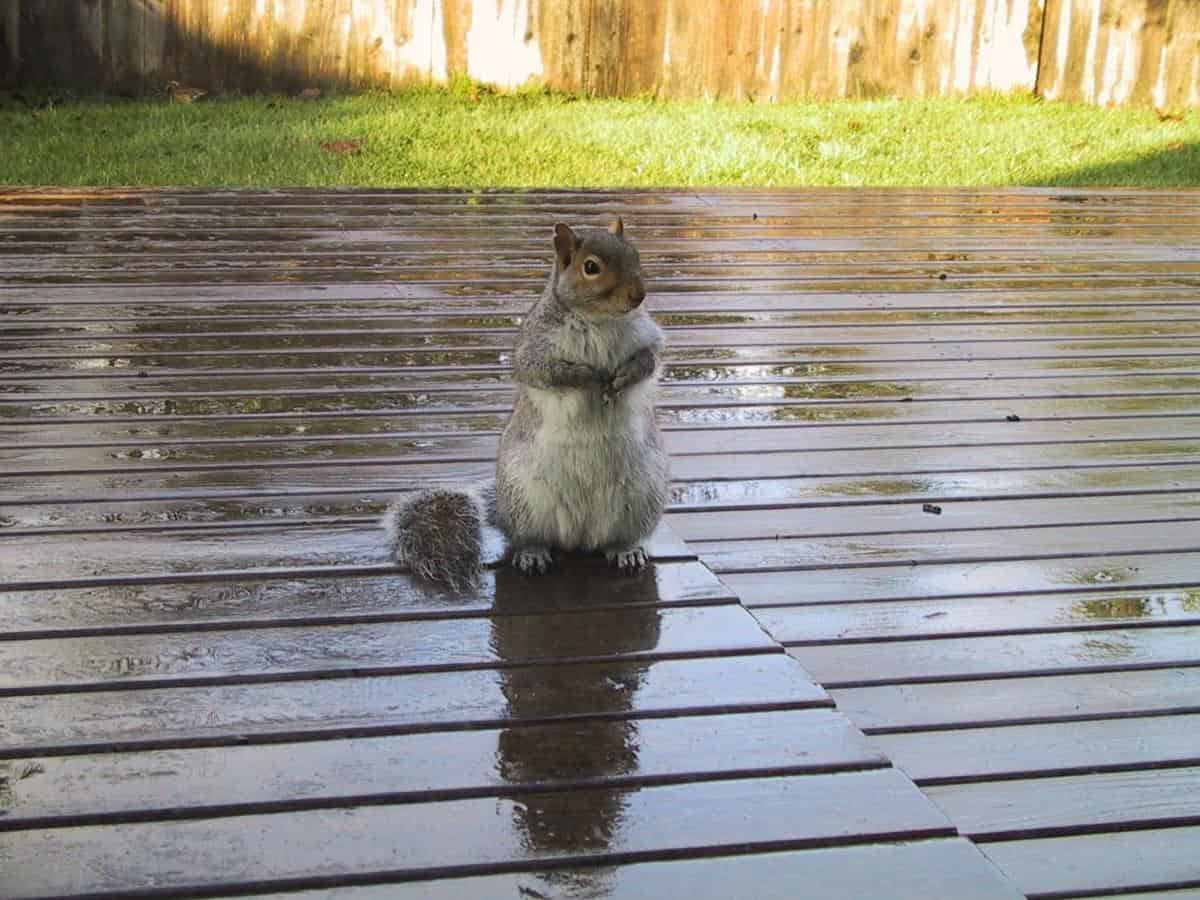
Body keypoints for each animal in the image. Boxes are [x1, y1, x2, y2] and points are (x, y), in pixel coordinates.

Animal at [381, 218, 672, 592]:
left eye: (635, 254)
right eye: (591, 267)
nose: (639, 295)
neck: (599, 319)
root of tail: (580, 539)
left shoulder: (648, 337)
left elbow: (649, 360)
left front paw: (623, 377)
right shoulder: (533, 347)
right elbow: (545, 370)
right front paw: (586, 377)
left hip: (640, 498)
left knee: (614, 540)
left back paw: (625, 550)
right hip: (526, 501)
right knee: (530, 538)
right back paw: (532, 553)